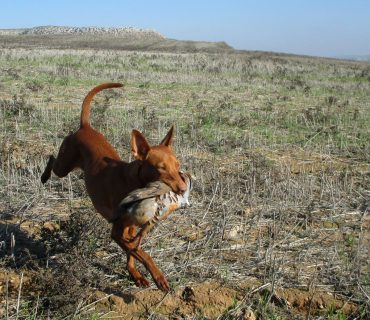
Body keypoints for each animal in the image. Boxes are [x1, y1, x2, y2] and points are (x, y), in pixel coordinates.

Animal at [41, 82, 186, 290]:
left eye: (178, 165)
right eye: (161, 169)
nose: (183, 188)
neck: (136, 182)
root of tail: (85, 127)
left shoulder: (130, 229)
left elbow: (133, 253)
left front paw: (135, 275)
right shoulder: (117, 232)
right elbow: (141, 252)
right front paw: (158, 276)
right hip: (63, 166)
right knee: (52, 159)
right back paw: (44, 176)